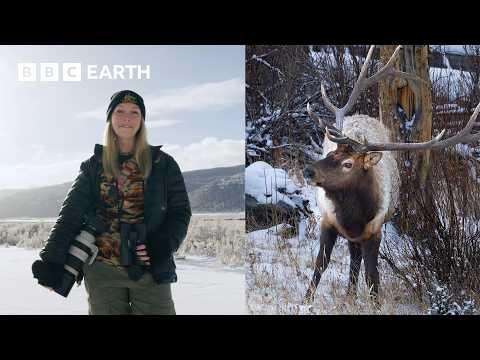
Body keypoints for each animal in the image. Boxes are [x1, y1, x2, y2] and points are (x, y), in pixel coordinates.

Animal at [304, 44, 480, 304]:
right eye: (331, 152)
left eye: (347, 163)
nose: (309, 170)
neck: (354, 216)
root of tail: (363, 115)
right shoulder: (327, 220)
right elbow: (320, 264)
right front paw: (305, 301)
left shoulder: (375, 230)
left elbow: (372, 274)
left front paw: (374, 304)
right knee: (352, 259)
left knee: (355, 260)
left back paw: (350, 297)